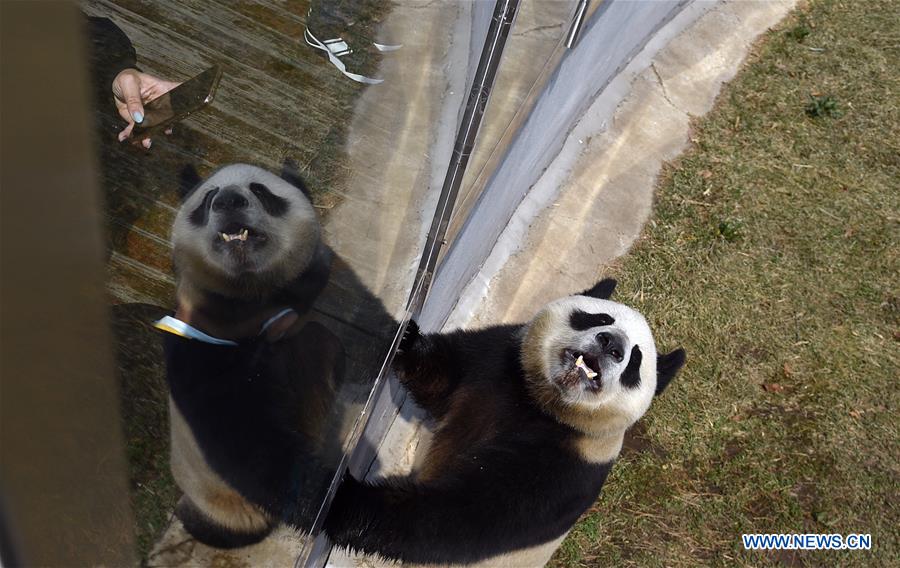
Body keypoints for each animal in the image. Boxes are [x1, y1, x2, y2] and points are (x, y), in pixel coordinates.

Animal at [159, 162, 348, 548]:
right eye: (209, 198)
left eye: (260, 190)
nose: (230, 201)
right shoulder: (200, 354)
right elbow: (249, 447)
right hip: (222, 502)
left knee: (323, 344)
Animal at [324, 278, 685, 564]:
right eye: (597, 318)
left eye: (634, 361)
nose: (612, 345)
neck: (544, 404)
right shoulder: (500, 359)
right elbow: (438, 374)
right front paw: (404, 336)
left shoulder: (567, 467)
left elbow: (465, 516)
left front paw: (343, 499)